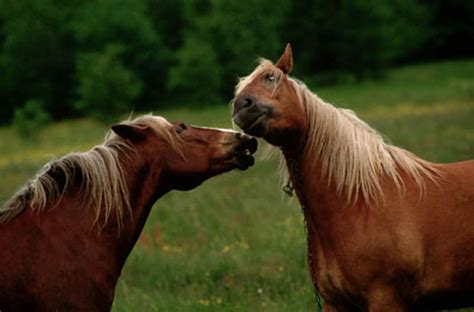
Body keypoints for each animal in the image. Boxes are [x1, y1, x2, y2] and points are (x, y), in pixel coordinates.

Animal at [232, 44, 474, 312]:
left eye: (270, 78)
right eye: (239, 89)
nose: (240, 106)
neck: (360, 204)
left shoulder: (385, 300)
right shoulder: (335, 303)